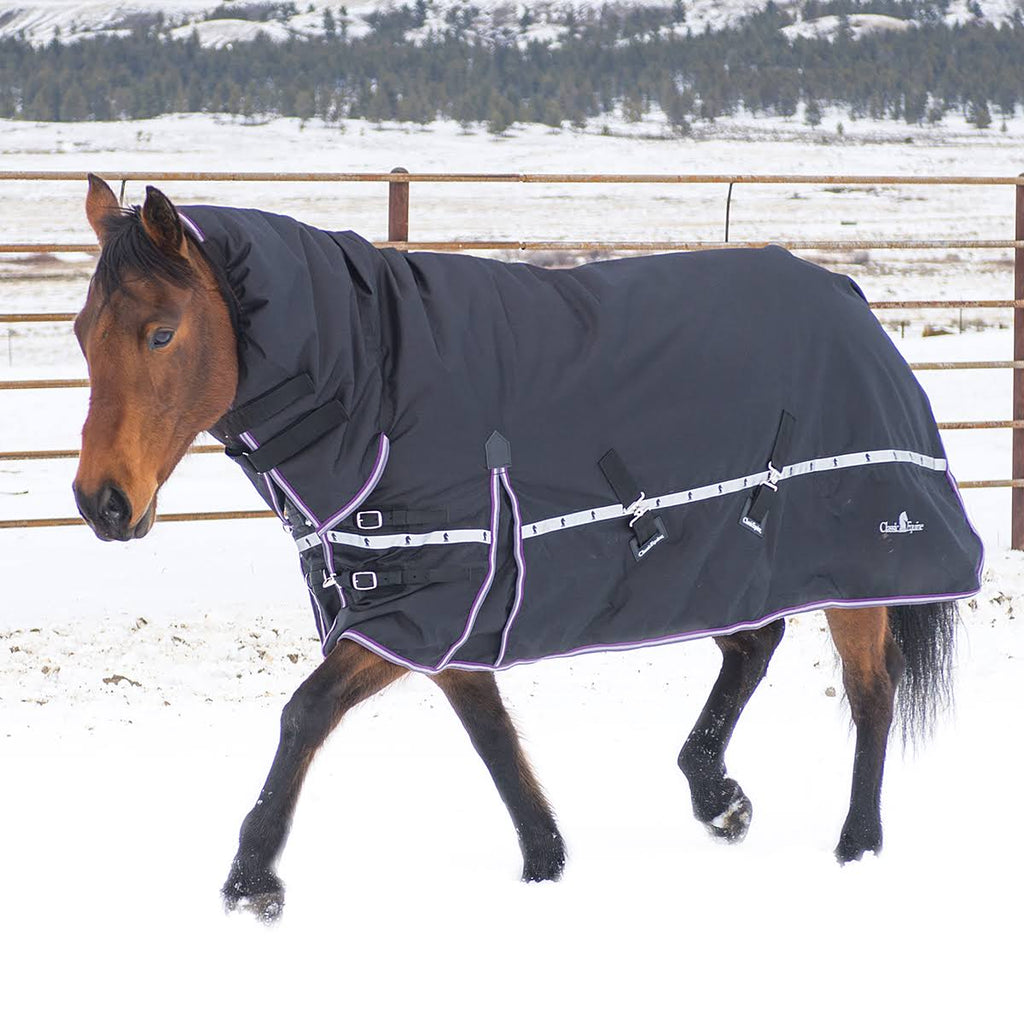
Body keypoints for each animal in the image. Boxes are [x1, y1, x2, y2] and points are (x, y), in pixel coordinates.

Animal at [72, 174, 974, 921]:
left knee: (871, 691)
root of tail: (852, 300)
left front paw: (250, 882)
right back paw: (717, 795)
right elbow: (492, 736)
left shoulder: (419, 607)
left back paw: (856, 845)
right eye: (82, 333)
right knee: (755, 646)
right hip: (731, 561)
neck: (375, 385)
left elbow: (306, 714)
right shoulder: (440, 610)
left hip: (859, 562)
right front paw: (545, 860)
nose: (101, 502)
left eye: (160, 334)